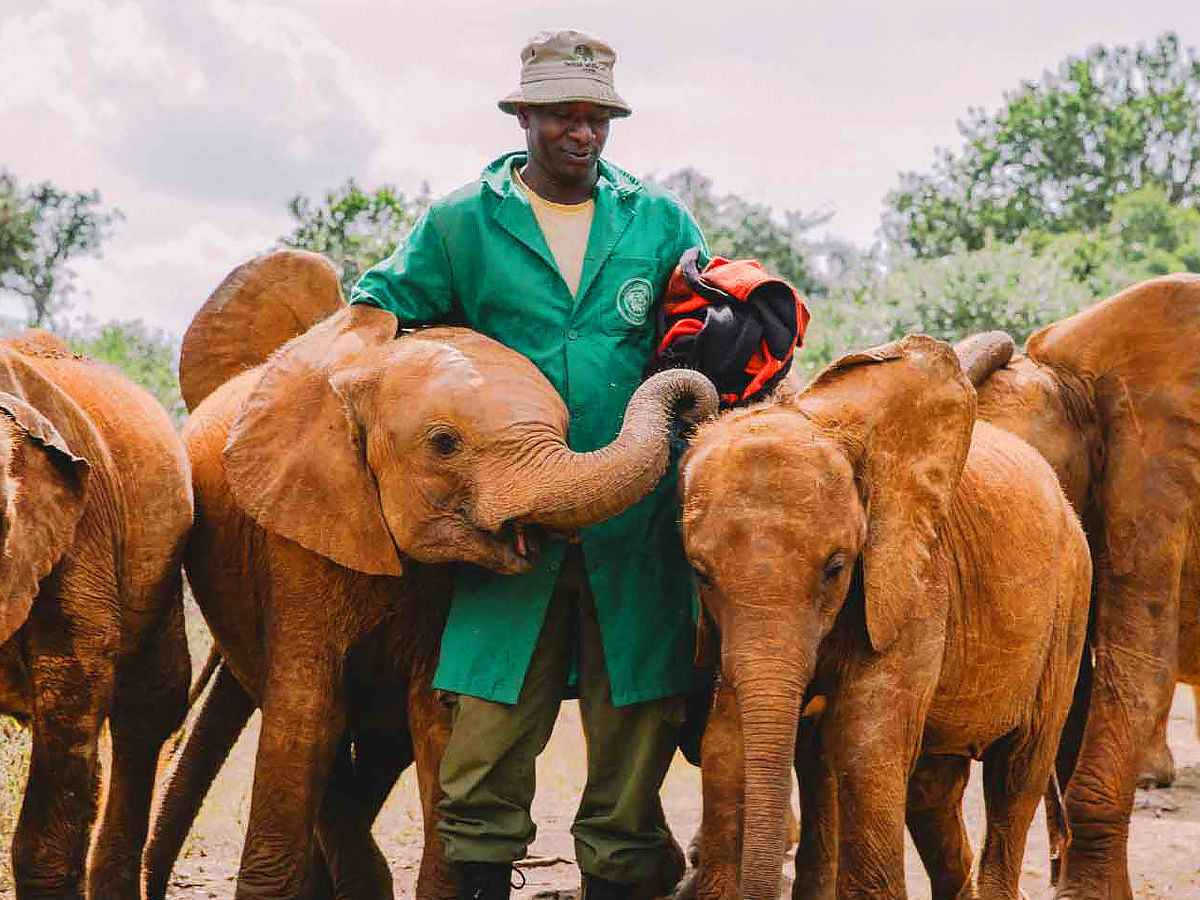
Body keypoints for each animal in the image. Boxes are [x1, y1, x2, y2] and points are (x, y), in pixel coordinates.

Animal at [681, 336, 1094, 900]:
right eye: (700, 575)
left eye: (836, 567)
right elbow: (727, 743)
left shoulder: (912, 579)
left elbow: (864, 746)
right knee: (931, 791)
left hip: (1069, 601)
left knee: (1017, 770)